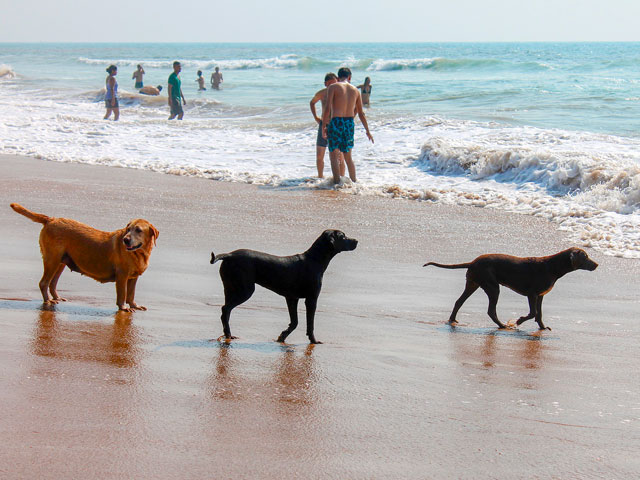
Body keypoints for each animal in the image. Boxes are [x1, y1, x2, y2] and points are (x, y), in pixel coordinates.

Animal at [10, 202, 158, 312]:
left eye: (138, 230)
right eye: (128, 229)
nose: (125, 240)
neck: (139, 253)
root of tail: (51, 219)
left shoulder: (133, 277)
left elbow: (131, 293)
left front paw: (134, 305)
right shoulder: (122, 275)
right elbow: (122, 293)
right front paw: (123, 307)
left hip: (61, 262)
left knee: (52, 283)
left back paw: (57, 298)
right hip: (52, 260)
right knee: (44, 283)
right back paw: (47, 301)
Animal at [422, 248, 596, 330]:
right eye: (586, 257)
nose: (597, 264)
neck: (552, 267)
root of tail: (472, 262)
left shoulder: (540, 295)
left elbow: (539, 314)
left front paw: (542, 327)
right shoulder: (532, 294)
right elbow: (533, 313)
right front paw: (518, 321)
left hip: (473, 283)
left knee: (459, 302)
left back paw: (452, 319)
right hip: (492, 287)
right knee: (490, 310)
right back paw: (502, 325)